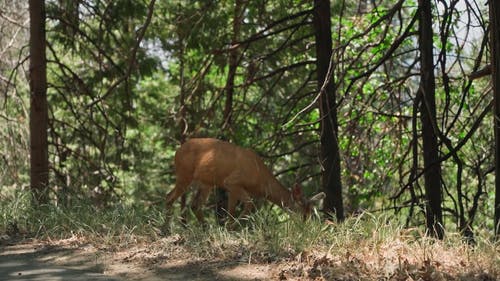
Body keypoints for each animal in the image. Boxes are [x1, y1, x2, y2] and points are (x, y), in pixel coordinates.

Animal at [166, 137, 324, 222]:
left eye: (311, 214)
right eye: (303, 215)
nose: (304, 229)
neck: (260, 180)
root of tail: (177, 151)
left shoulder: (239, 188)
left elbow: (242, 208)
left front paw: (233, 228)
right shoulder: (232, 182)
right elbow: (240, 208)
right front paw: (231, 228)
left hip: (206, 182)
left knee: (195, 205)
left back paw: (204, 228)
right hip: (184, 174)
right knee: (169, 197)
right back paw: (165, 230)